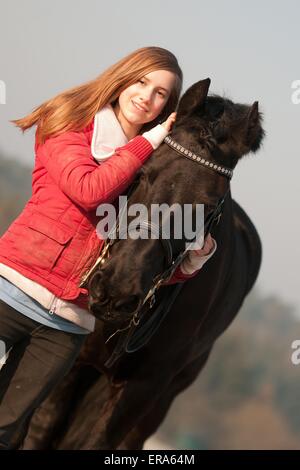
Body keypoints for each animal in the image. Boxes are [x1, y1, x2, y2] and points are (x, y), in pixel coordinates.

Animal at [21, 79, 264, 450]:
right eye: (144, 172)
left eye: (208, 207)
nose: (117, 292)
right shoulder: (72, 360)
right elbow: (41, 428)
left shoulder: (144, 389)